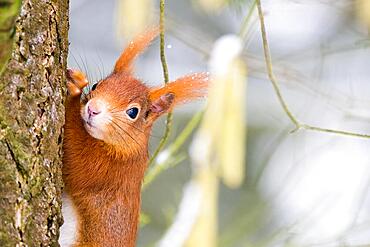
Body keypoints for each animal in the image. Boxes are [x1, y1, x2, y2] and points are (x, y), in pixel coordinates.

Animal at [62, 28, 210, 246]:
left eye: (133, 112)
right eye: (97, 85)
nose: (92, 109)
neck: (128, 148)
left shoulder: (111, 170)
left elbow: (77, 159)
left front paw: (74, 91)